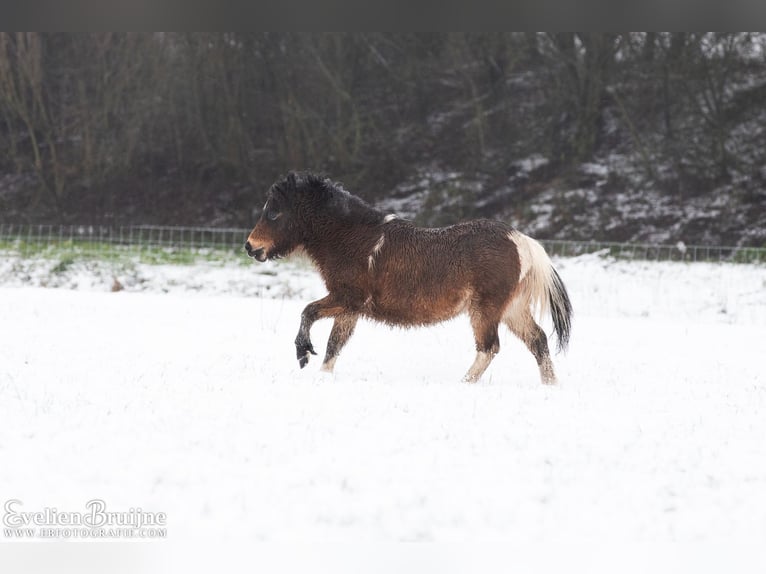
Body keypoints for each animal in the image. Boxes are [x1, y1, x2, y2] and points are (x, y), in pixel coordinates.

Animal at [245, 172, 572, 384]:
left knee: (489, 347)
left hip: (486, 309)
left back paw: (464, 382)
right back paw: (550, 385)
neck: (353, 239)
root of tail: (522, 241)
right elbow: (333, 344)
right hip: (512, 309)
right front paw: (322, 376)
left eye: (274, 213)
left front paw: (303, 353)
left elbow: (308, 312)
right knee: (538, 340)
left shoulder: (346, 298)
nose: (250, 246)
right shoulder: (350, 308)